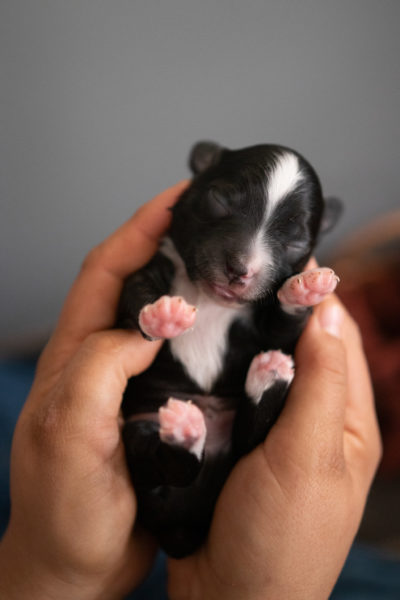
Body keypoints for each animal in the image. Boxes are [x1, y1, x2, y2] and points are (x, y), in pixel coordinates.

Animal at [117, 142, 342, 556]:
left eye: (297, 242)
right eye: (219, 200)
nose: (240, 269)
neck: (210, 300)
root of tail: (184, 524)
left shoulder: (264, 328)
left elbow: (281, 327)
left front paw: (306, 289)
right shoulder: (154, 265)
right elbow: (135, 291)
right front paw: (161, 315)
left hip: (238, 449)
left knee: (250, 436)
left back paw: (266, 376)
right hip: (139, 431)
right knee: (163, 463)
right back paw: (186, 431)